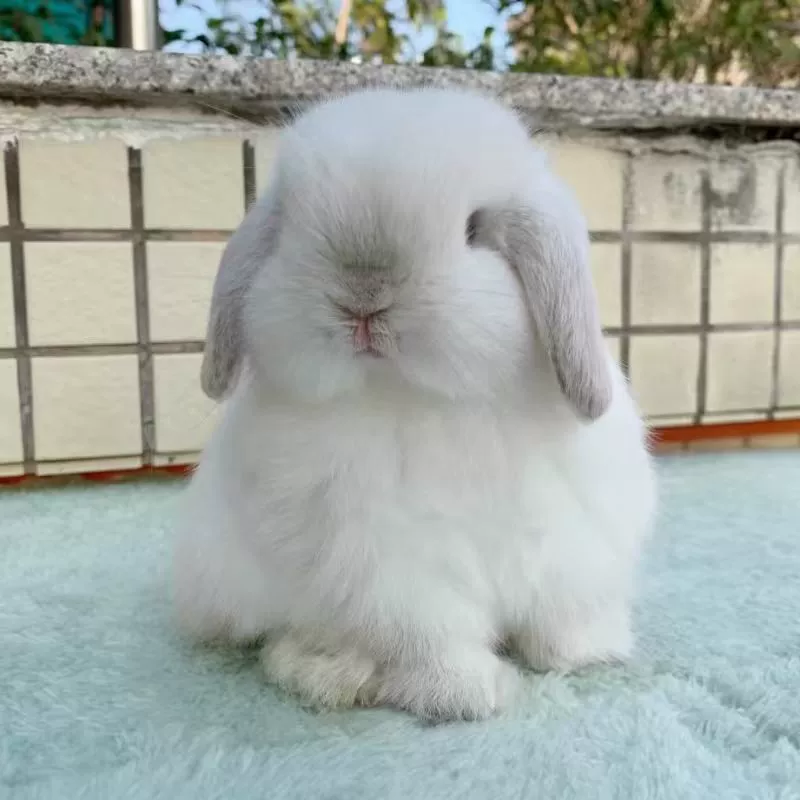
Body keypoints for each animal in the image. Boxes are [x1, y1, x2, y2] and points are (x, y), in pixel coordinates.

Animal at [173, 87, 657, 722]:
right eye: (291, 229)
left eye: (475, 230)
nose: (362, 297)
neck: (428, 401)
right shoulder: (392, 568)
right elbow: (431, 635)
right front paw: (471, 695)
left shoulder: (572, 544)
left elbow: (559, 618)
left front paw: (586, 653)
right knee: (284, 643)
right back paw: (332, 675)